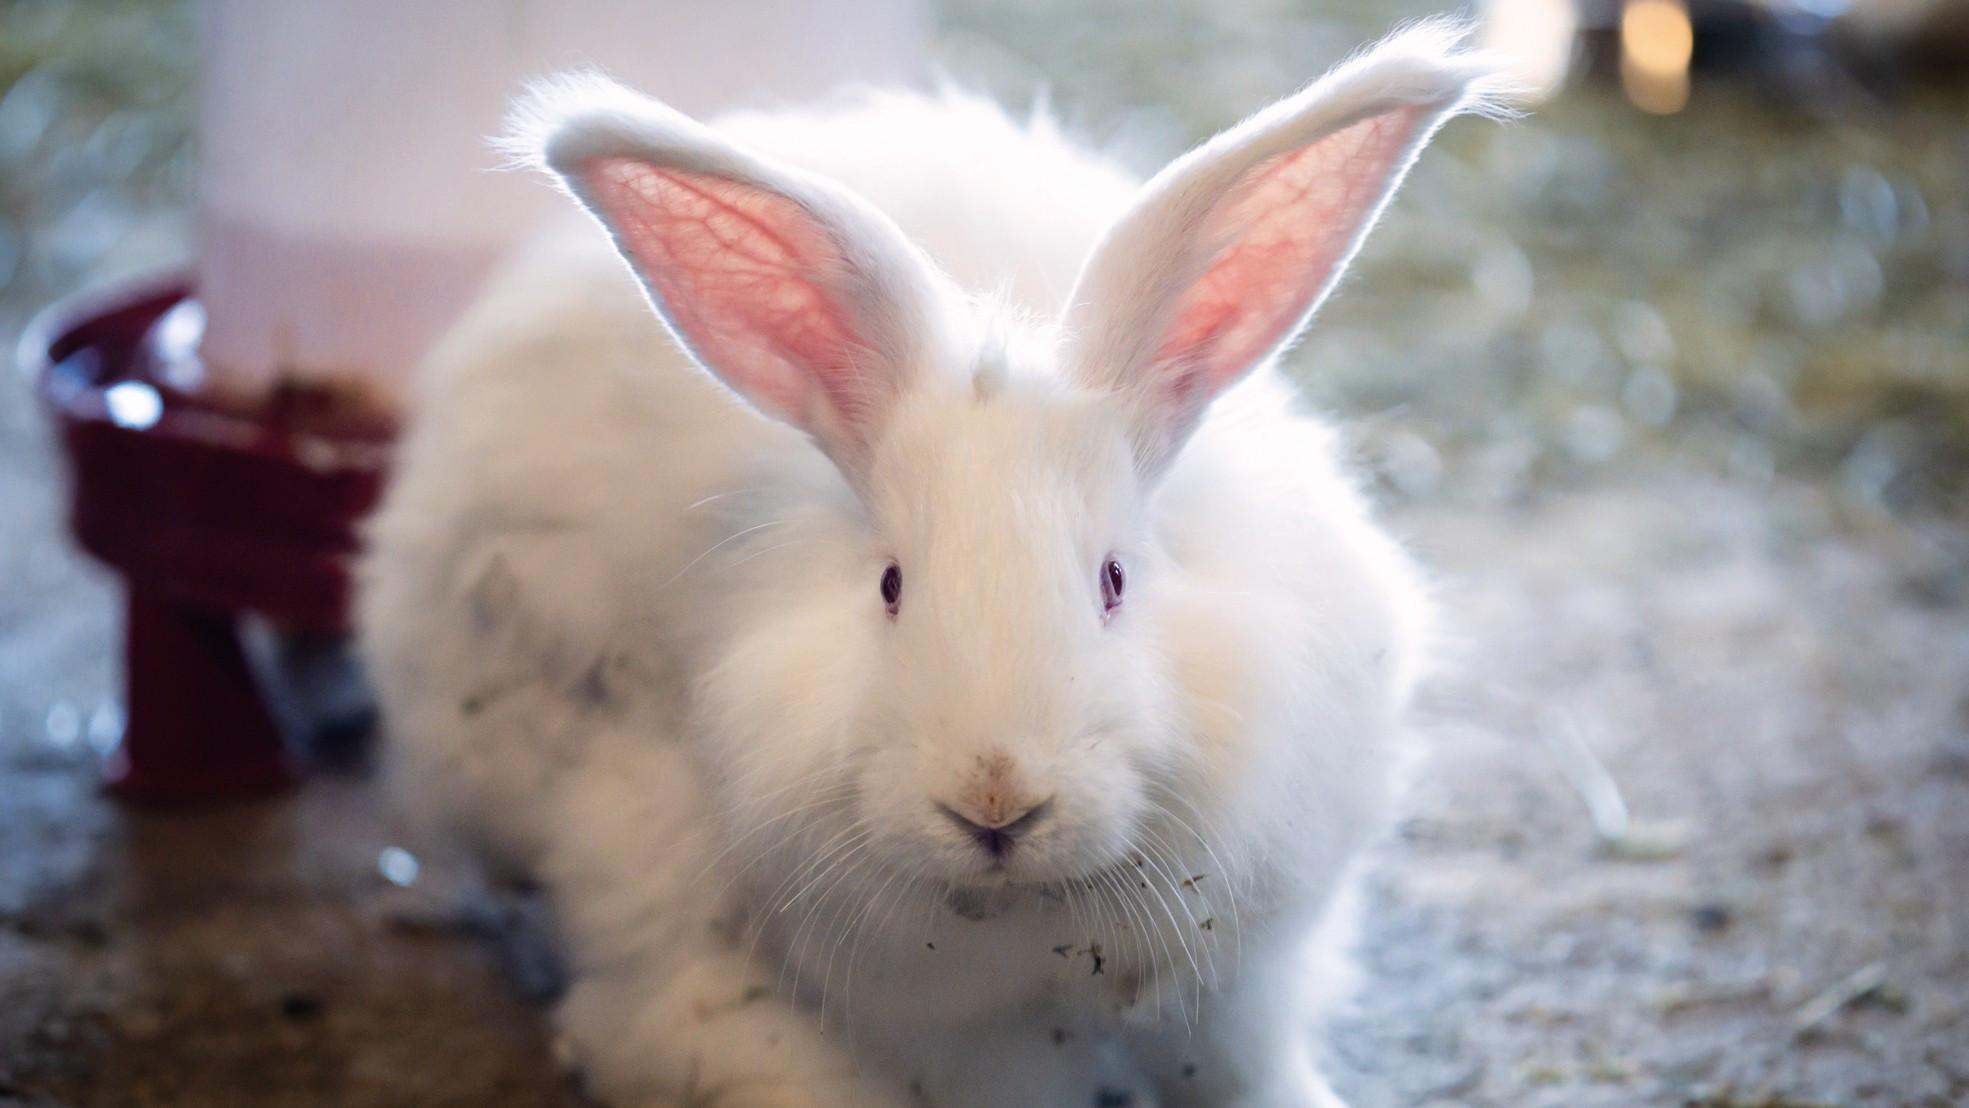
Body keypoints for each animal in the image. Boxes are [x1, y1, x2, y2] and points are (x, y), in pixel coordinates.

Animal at [358, 20, 1508, 1108]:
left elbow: (1238, 1070)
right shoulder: (958, 1037)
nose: (994, 800)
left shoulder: (1246, 976)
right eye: (890, 586)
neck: (1034, 925)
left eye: (1114, 581)